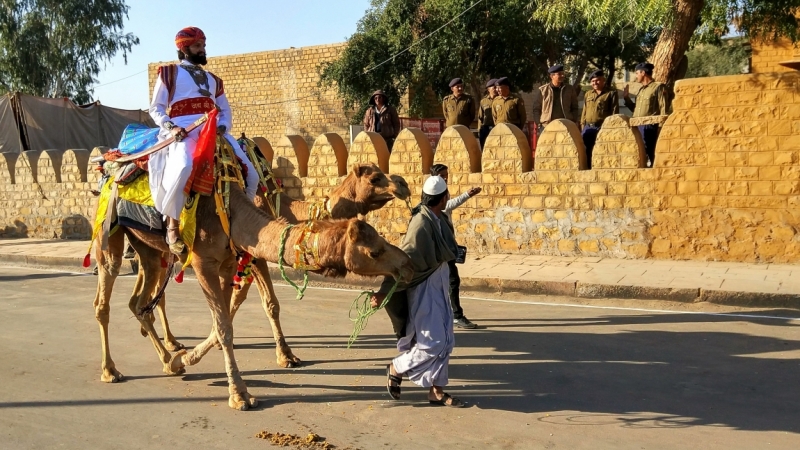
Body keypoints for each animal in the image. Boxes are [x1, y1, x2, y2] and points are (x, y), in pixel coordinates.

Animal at [92, 181, 412, 410]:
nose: (406, 262)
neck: (233, 213)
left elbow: (220, 324)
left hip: (148, 248)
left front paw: (181, 361)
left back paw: (166, 358)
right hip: (110, 232)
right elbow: (224, 327)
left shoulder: (228, 262)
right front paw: (240, 395)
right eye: (375, 251)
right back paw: (110, 370)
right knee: (104, 299)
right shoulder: (203, 262)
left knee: (140, 301)